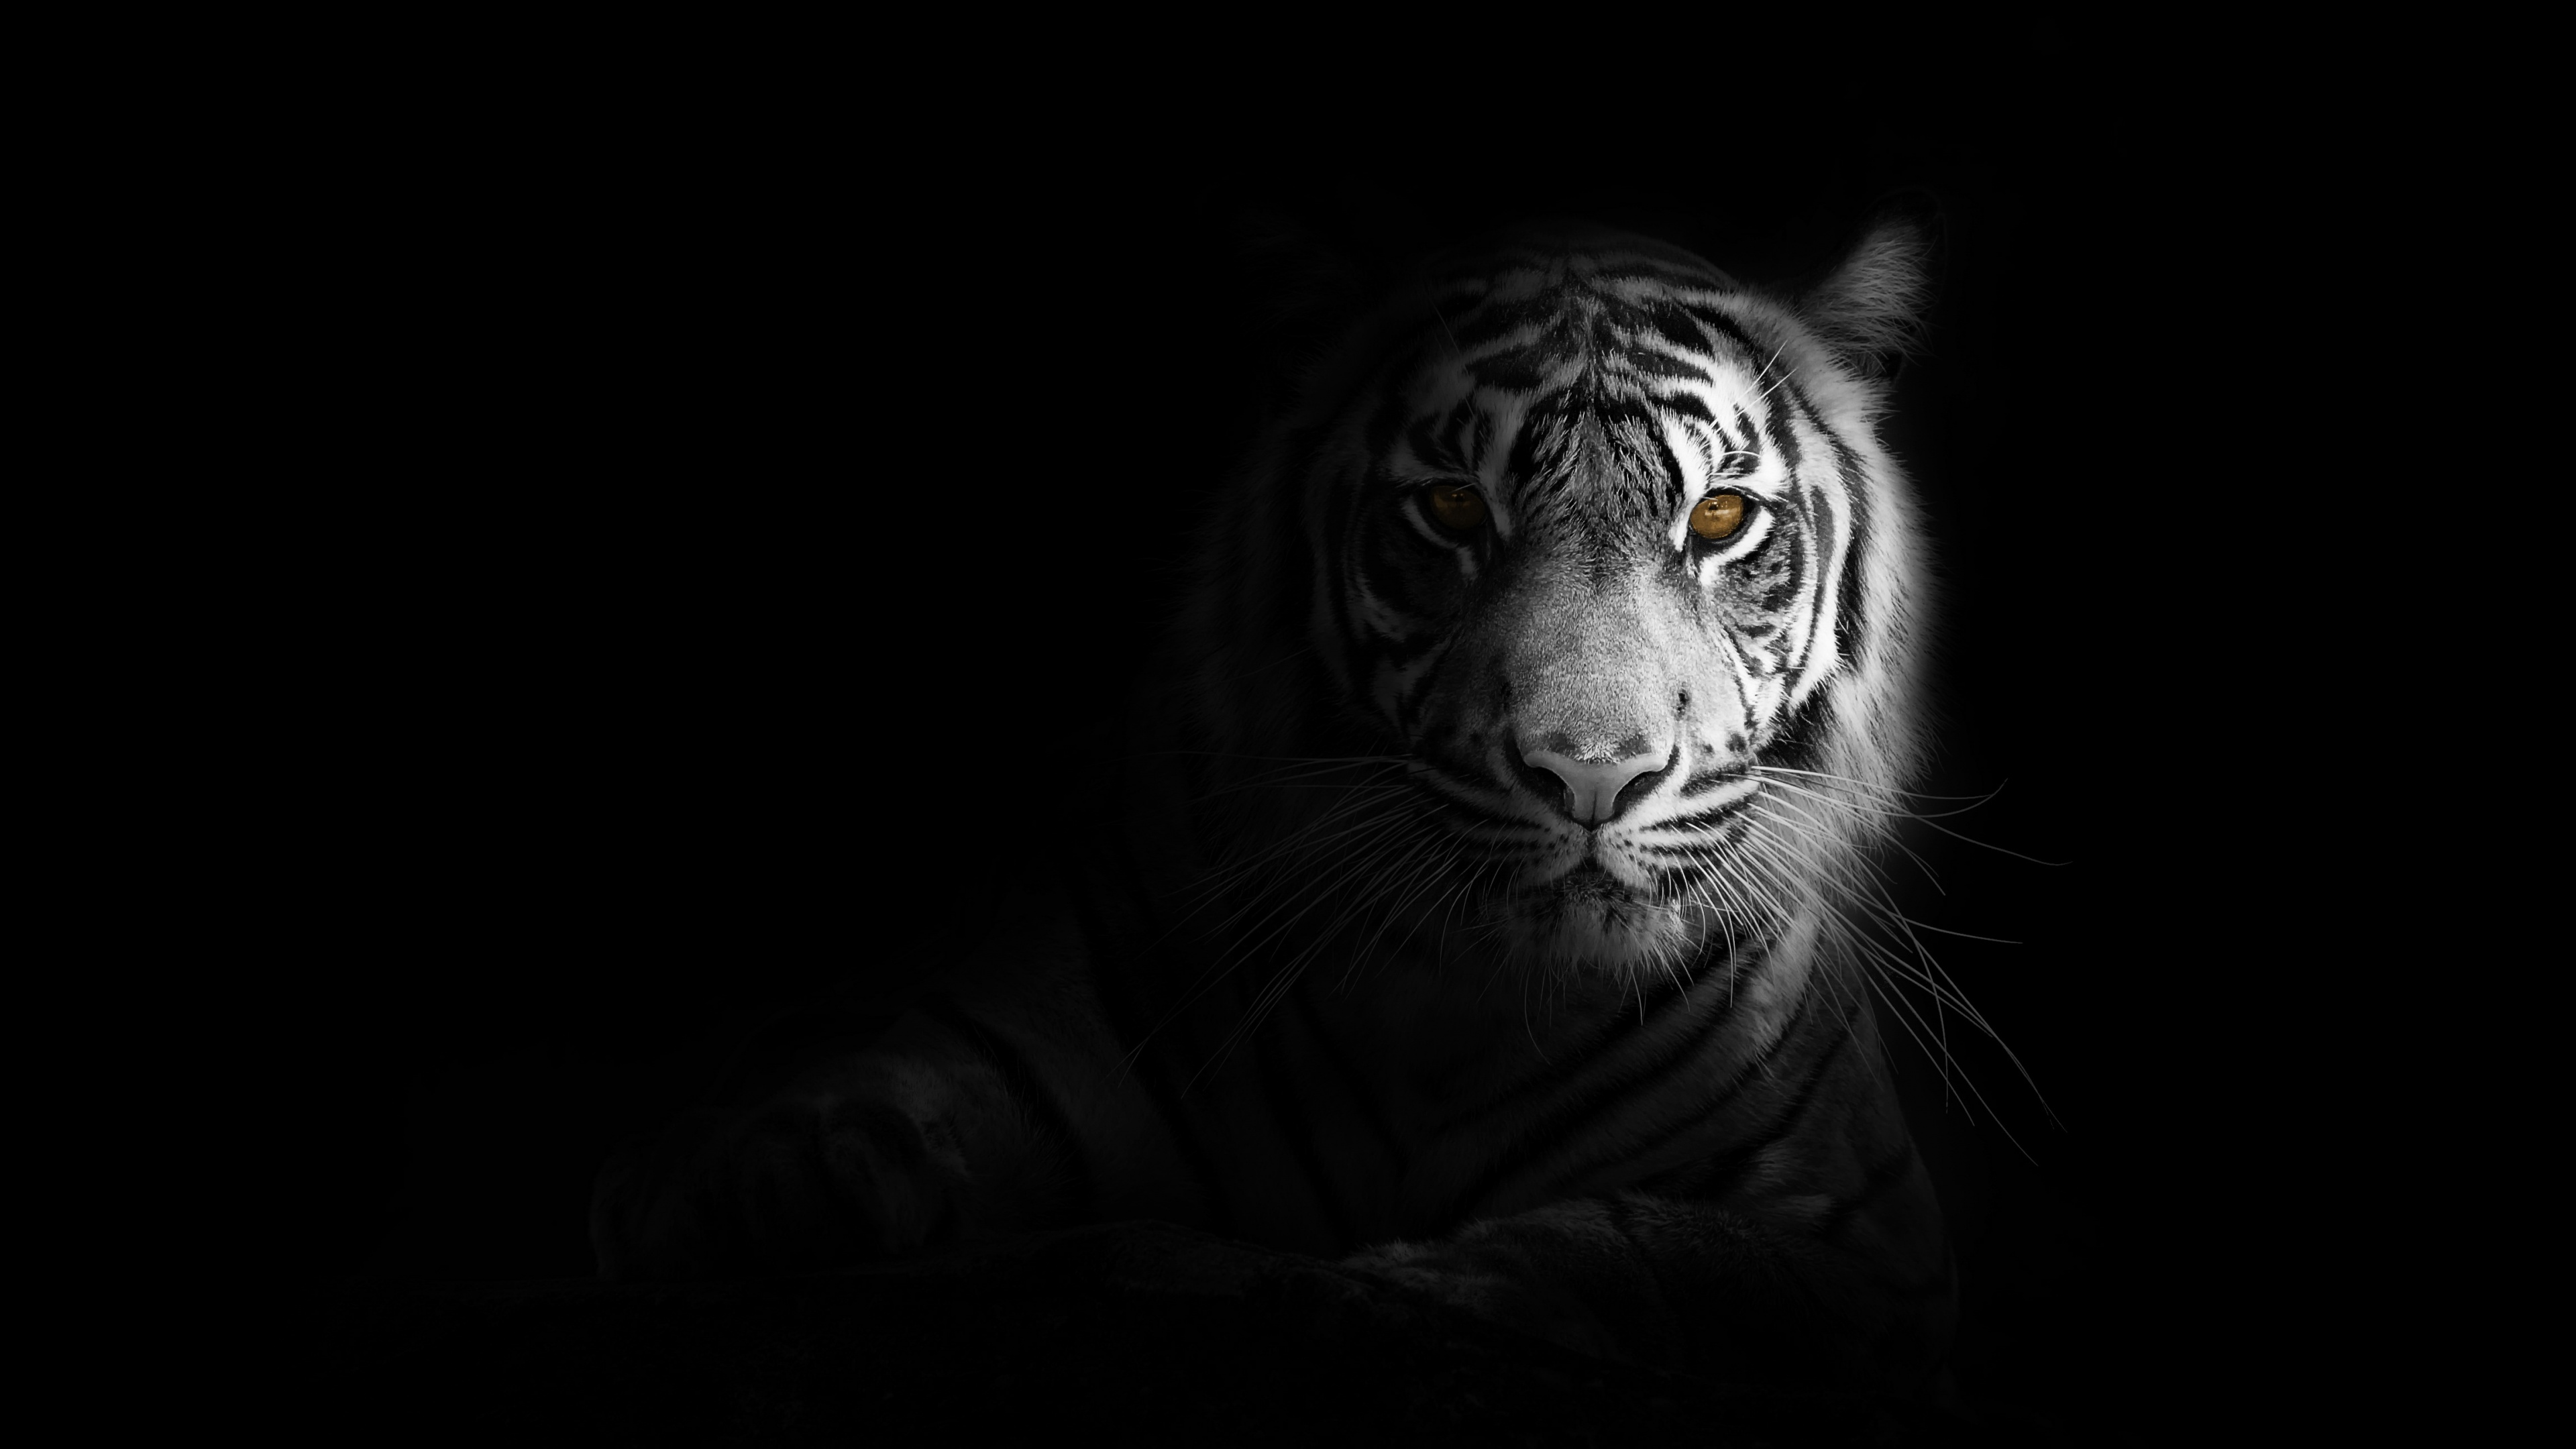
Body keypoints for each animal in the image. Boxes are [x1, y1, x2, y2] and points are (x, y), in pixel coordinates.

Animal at [592, 210, 1966, 1396]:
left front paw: (1401, 1288)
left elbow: (1648, 1253)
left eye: (1719, 518)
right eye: (1452, 508)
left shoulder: (1868, 1240)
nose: (1591, 772)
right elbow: (839, 1115)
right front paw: (749, 1198)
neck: (1463, 1009)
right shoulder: (1006, 1024)